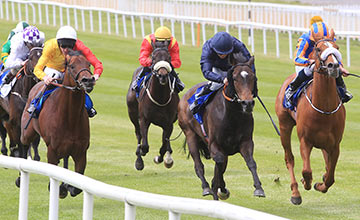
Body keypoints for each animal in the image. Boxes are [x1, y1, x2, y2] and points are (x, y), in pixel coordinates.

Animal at [20, 50, 95, 199]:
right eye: (72, 66)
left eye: (88, 64)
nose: (88, 80)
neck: (70, 118)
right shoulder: (52, 151)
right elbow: (52, 180)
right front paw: (60, 188)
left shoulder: (81, 152)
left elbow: (76, 187)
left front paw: (67, 187)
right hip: (27, 132)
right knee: (24, 145)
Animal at [177, 55, 264, 200]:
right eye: (234, 78)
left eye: (253, 77)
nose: (247, 103)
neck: (232, 116)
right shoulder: (214, 144)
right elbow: (218, 162)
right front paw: (216, 187)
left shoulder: (245, 142)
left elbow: (251, 162)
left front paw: (258, 188)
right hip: (190, 135)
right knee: (199, 165)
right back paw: (206, 187)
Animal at [276, 28, 346, 205]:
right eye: (318, 49)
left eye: (337, 48)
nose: (334, 66)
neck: (324, 109)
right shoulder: (305, 140)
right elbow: (306, 170)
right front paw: (306, 182)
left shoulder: (335, 145)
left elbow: (330, 177)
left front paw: (320, 183)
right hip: (284, 126)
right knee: (289, 158)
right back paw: (295, 192)